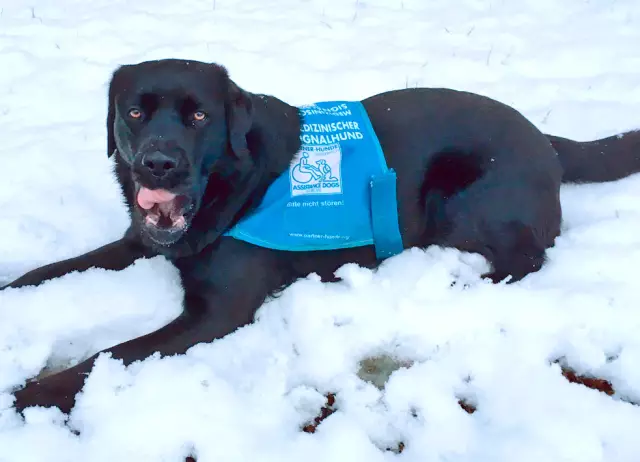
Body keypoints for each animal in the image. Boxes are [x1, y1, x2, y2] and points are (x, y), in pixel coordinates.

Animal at [5, 59, 640, 414]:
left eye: (200, 116)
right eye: (135, 113)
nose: (158, 165)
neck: (230, 185)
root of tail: (548, 141)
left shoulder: (215, 315)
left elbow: (102, 357)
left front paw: (25, 396)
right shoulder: (137, 243)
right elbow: (43, 272)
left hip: (462, 200)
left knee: (523, 259)